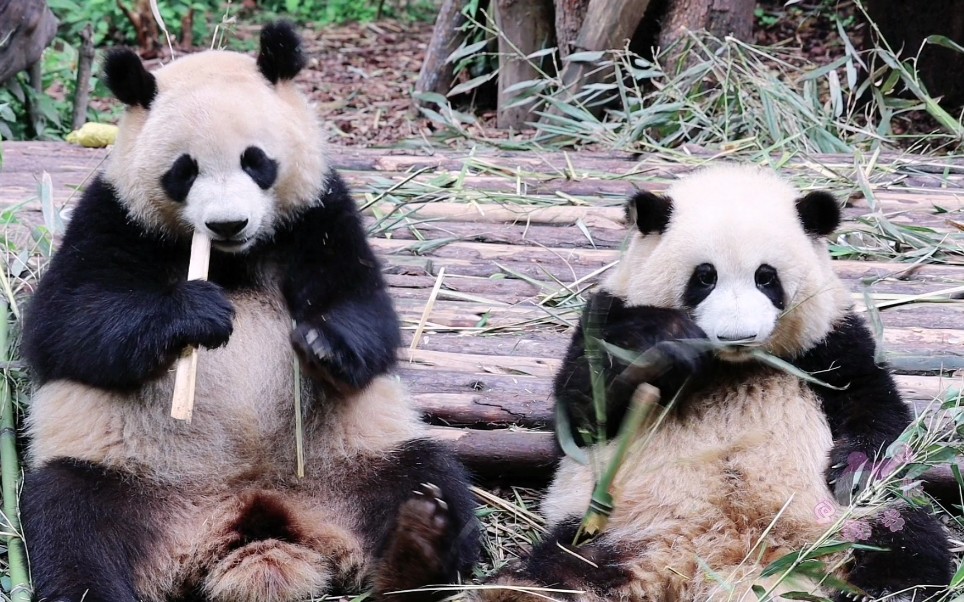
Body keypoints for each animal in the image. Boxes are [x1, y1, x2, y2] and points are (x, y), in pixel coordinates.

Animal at [18, 21, 478, 600]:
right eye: (183, 171)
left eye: (255, 161)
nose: (227, 224)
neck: (233, 259)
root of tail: (250, 518)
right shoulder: (112, 215)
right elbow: (64, 322)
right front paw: (196, 313)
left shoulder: (320, 213)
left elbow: (367, 309)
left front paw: (324, 346)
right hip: (124, 474)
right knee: (69, 520)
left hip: (358, 459)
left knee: (429, 473)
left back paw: (420, 545)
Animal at [478, 164, 952, 600]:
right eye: (705, 277)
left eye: (766, 277)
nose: (736, 336)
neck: (731, 366)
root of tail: (719, 564)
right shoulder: (607, 314)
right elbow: (580, 414)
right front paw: (666, 345)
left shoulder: (830, 340)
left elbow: (873, 404)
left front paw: (852, 470)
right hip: (610, 526)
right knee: (558, 570)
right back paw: (519, 587)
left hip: (837, 526)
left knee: (905, 542)